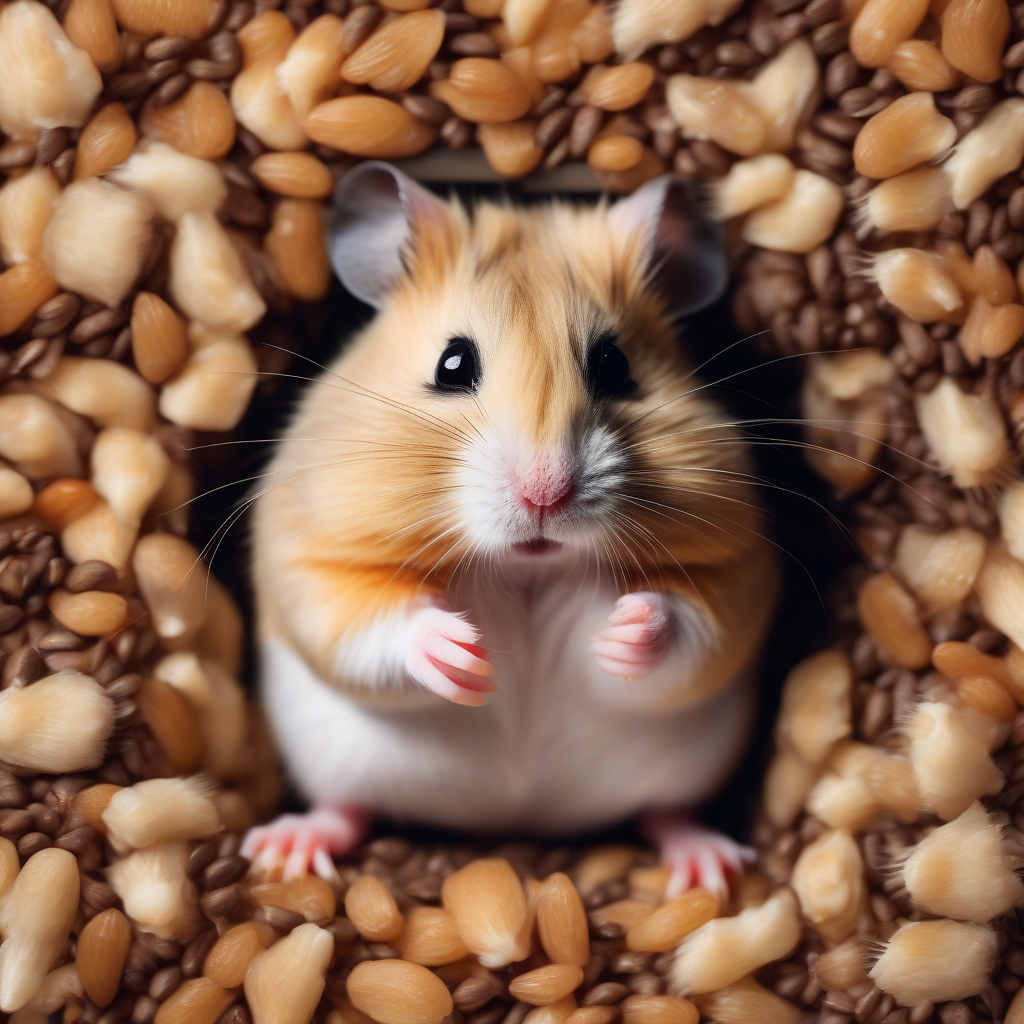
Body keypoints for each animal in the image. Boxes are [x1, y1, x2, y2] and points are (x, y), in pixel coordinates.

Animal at [243, 163, 779, 897]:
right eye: (451, 364)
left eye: (614, 365)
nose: (543, 493)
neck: (528, 568)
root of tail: (513, 819)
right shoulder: (309, 556)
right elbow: (368, 621)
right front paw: (467, 653)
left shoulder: (739, 566)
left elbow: (693, 624)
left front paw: (625, 629)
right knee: (345, 808)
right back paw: (283, 848)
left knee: (665, 813)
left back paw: (708, 865)